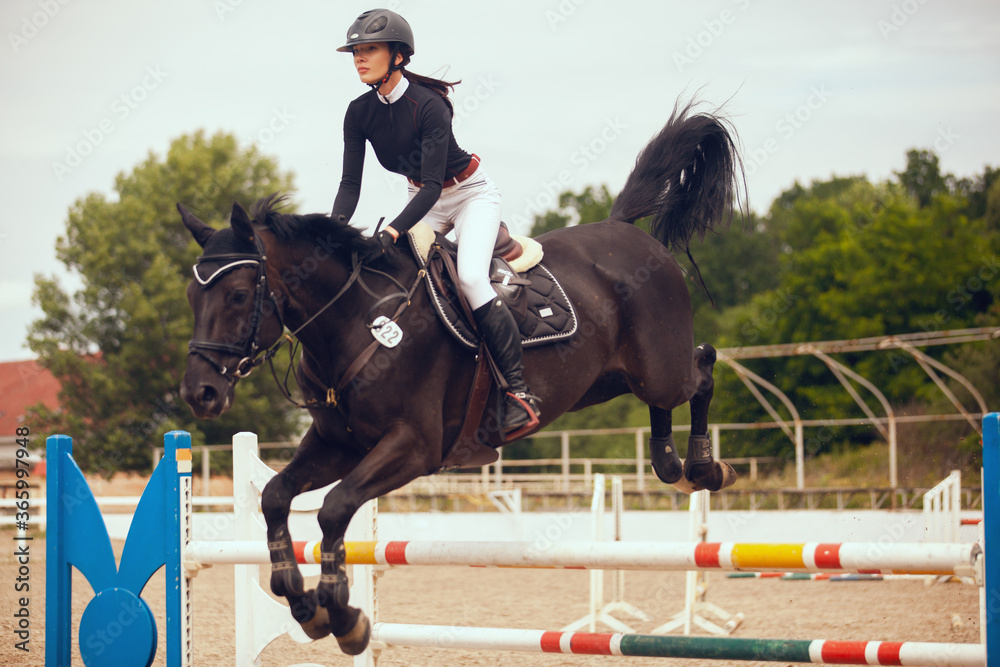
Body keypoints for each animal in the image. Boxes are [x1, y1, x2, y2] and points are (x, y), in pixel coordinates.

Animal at [178, 102, 744, 656]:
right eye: (191, 296)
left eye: (237, 295)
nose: (199, 393)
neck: (355, 320)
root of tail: (623, 228)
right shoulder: (338, 444)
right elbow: (275, 496)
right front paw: (302, 603)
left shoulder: (414, 445)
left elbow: (335, 509)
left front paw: (341, 615)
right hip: (608, 381)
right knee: (671, 395)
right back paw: (672, 464)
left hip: (659, 369)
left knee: (702, 367)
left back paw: (705, 468)